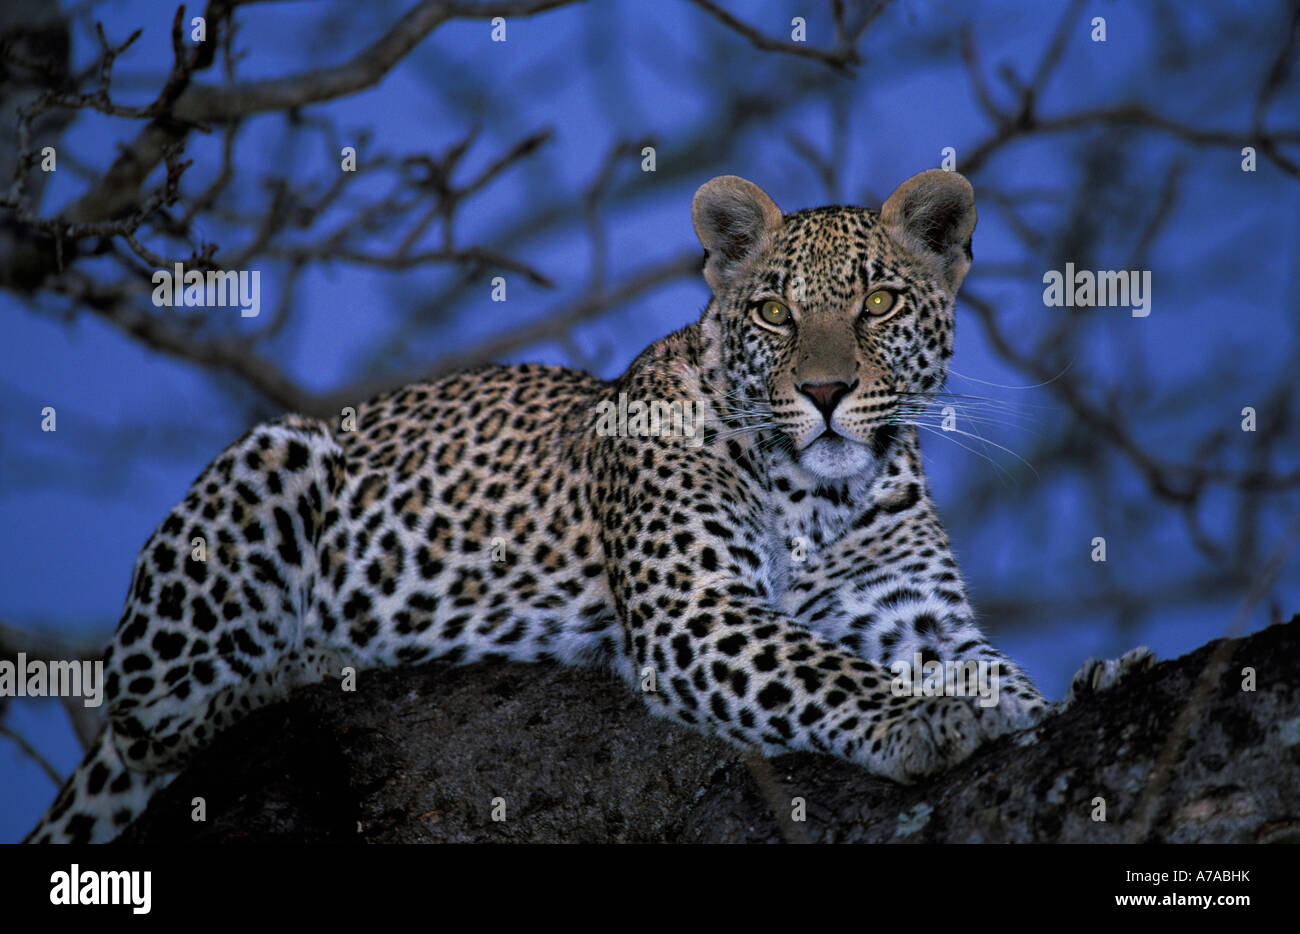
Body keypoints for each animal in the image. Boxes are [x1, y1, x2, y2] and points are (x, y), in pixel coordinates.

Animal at [26, 169, 1153, 843]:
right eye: (773, 312)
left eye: (877, 303)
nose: (827, 392)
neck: (824, 495)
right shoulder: (694, 610)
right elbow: (821, 667)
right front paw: (925, 718)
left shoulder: (918, 618)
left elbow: (1000, 672)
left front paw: (1093, 681)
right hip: (271, 458)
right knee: (152, 716)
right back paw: (310, 658)